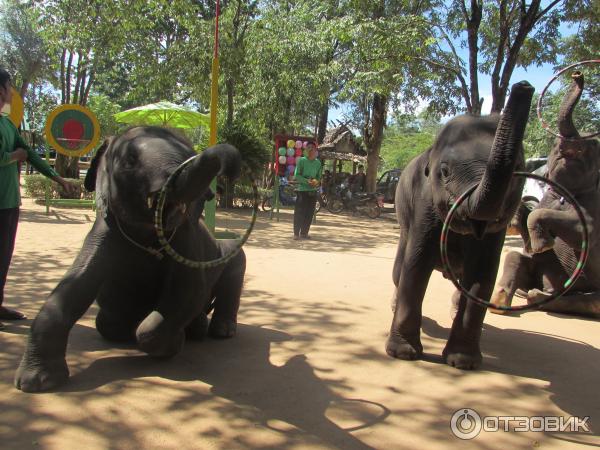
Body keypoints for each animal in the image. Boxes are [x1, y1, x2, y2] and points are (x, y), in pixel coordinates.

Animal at [16, 125, 247, 390]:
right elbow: (74, 283)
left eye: (190, 154)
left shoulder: (188, 238)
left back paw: (214, 331)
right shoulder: (105, 232)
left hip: (227, 254)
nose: (230, 169)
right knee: (107, 324)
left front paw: (175, 343)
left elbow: (188, 290)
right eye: (129, 161)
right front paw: (35, 383)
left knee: (235, 260)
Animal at [386, 81, 532, 370]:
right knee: (399, 271)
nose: (524, 85)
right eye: (444, 172)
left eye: (518, 170)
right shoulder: (424, 203)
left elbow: (483, 274)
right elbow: (416, 264)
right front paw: (403, 353)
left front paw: (463, 362)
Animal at [492, 70, 600, 316]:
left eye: (592, 146)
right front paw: (537, 240)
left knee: (590, 301)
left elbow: (586, 231)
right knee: (515, 257)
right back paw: (504, 301)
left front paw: (544, 243)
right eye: (554, 145)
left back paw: (540, 297)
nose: (577, 75)